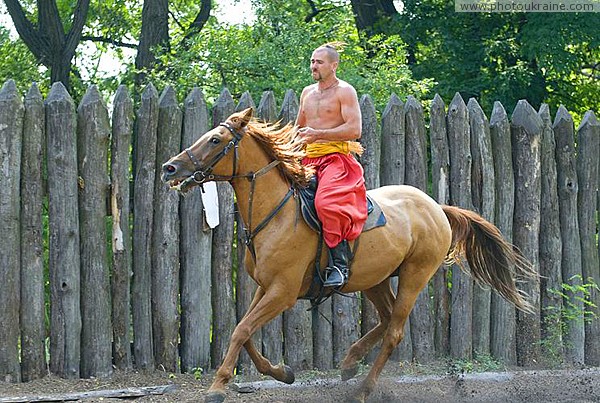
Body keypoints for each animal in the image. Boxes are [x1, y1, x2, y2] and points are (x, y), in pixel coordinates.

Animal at [162, 107, 536, 403]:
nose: (169, 168)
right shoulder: (264, 287)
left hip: (414, 276)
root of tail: (437, 208)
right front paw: (281, 372)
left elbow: (241, 330)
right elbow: (244, 331)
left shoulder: (282, 293)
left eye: (214, 140)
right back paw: (349, 362)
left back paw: (362, 389)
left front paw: (217, 387)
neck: (278, 213)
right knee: (385, 319)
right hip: (374, 279)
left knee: (394, 332)